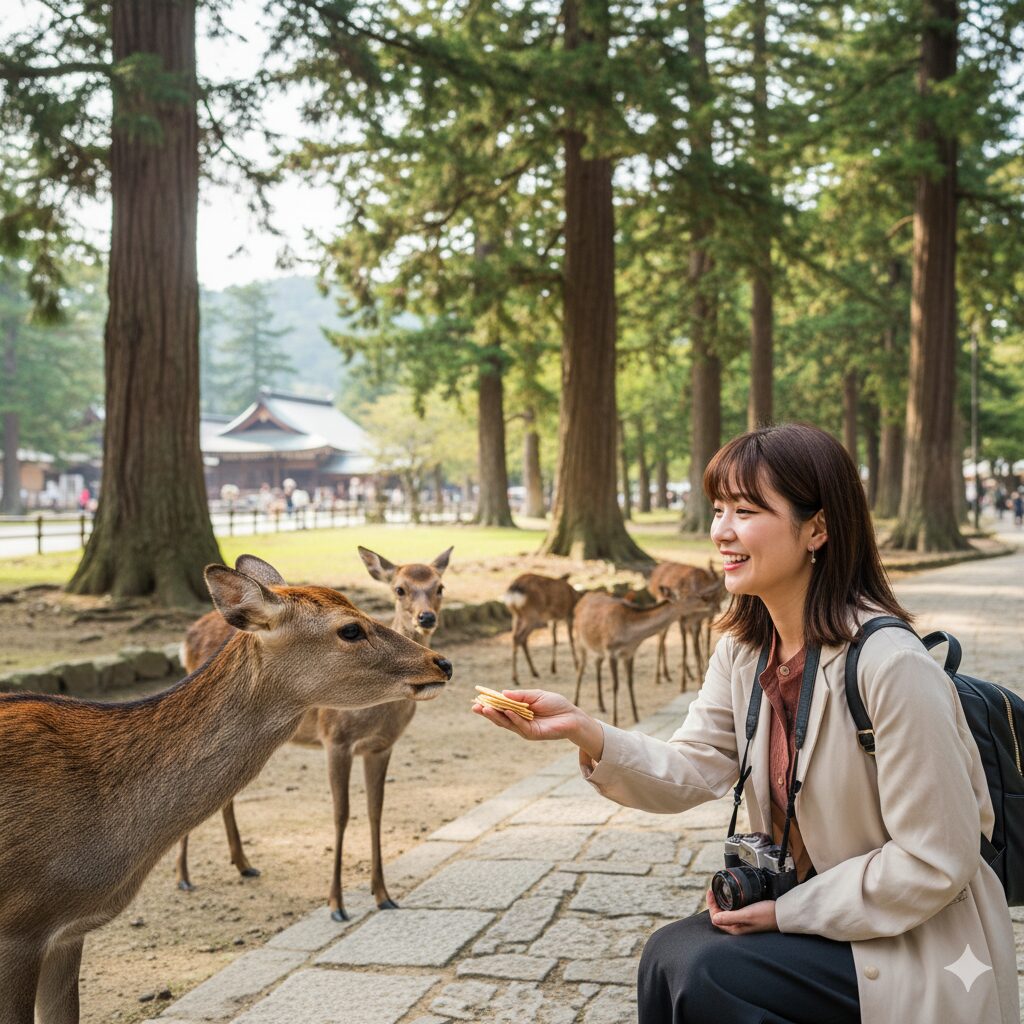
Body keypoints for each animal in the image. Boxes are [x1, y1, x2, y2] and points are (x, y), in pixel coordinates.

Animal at [175, 546, 452, 923]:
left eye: (440, 586)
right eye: (399, 588)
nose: (426, 618)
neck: (378, 717)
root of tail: (186, 639)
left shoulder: (381, 747)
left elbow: (376, 810)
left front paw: (383, 895)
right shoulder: (335, 739)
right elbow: (341, 814)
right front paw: (337, 905)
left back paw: (244, 864)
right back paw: (184, 877)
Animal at [572, 580, 720, 726]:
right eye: (690, 595)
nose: (713, 604)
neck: (629, 635)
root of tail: (582, 599)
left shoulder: (630, 652)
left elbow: (630, 682)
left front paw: (635, 715)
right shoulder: (611, 651)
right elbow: (615, 685)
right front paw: (615, 720)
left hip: (598, 650)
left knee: (596, 663)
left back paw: (601, 705)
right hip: (580, 640)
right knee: (581, 668)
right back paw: (576, 701)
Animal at [648, 561, 727, 690]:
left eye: (694, 600)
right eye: (678, 600)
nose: (717, 608)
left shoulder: (697, 621)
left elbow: (696, 647)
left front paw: (700, 678)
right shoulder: (684, 622)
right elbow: (685, 650)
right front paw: (683, 685)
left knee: (663, 637)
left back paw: (668, 675)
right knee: (661, 636)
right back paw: (658, 677)